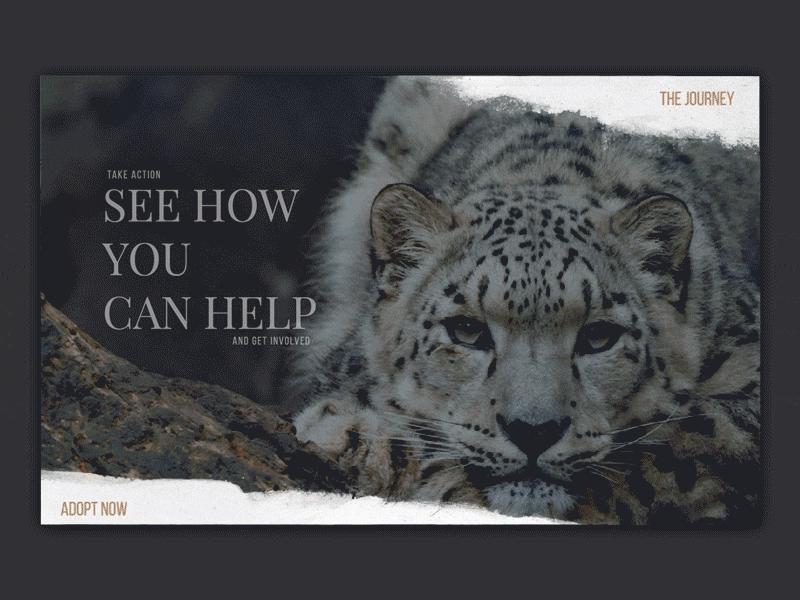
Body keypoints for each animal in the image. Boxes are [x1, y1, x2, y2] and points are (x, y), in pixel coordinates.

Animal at [291, 77, 761, 525]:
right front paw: (354, 437)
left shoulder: (744, 389)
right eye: (466, 330)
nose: (533, 431)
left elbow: (670, 454)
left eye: (599, 337)